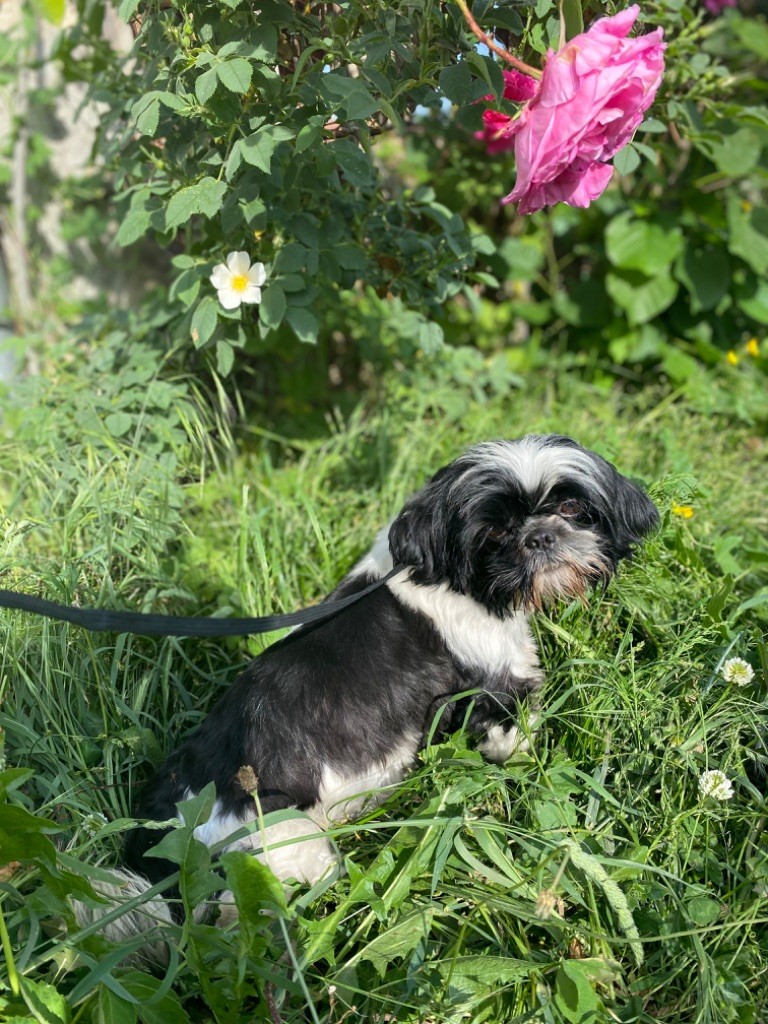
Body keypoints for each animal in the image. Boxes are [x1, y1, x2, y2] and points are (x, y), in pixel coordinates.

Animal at [75, 434, 658, 954]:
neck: (449, 578)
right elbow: (516, 741)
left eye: (571, 506)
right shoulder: (495, 689)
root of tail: (173, 835)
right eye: (494, 529)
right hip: (288, 848)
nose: (540, 537)